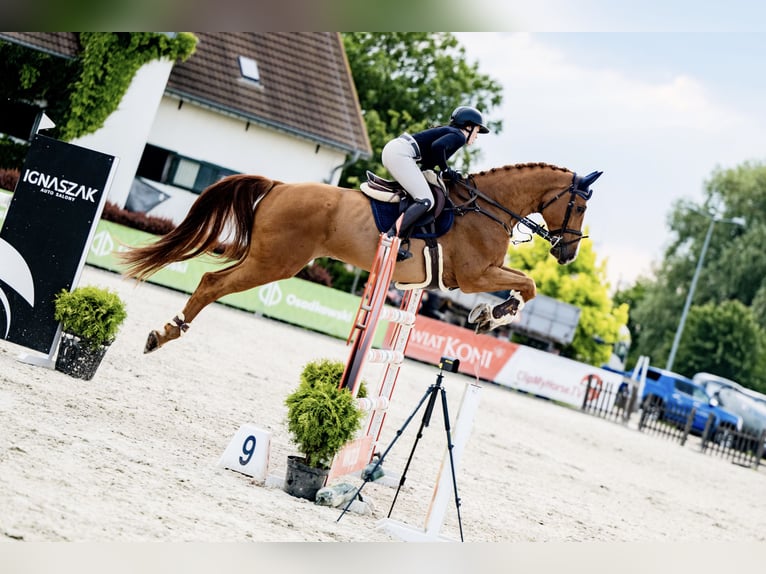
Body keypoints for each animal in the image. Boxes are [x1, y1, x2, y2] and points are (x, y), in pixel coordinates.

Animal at [120, 161, 604, 352]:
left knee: (210, 281)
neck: (486, 206)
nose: (568, 253)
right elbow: (528, 285)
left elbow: (525, 283)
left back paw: (163, 333)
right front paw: (493, 315)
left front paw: (488, 314)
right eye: (580, 207)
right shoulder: (471, 276)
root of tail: (279, 186)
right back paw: (164, 333)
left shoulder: (479, 273)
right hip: (275, 262)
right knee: (212, 284)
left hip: (267, 258)